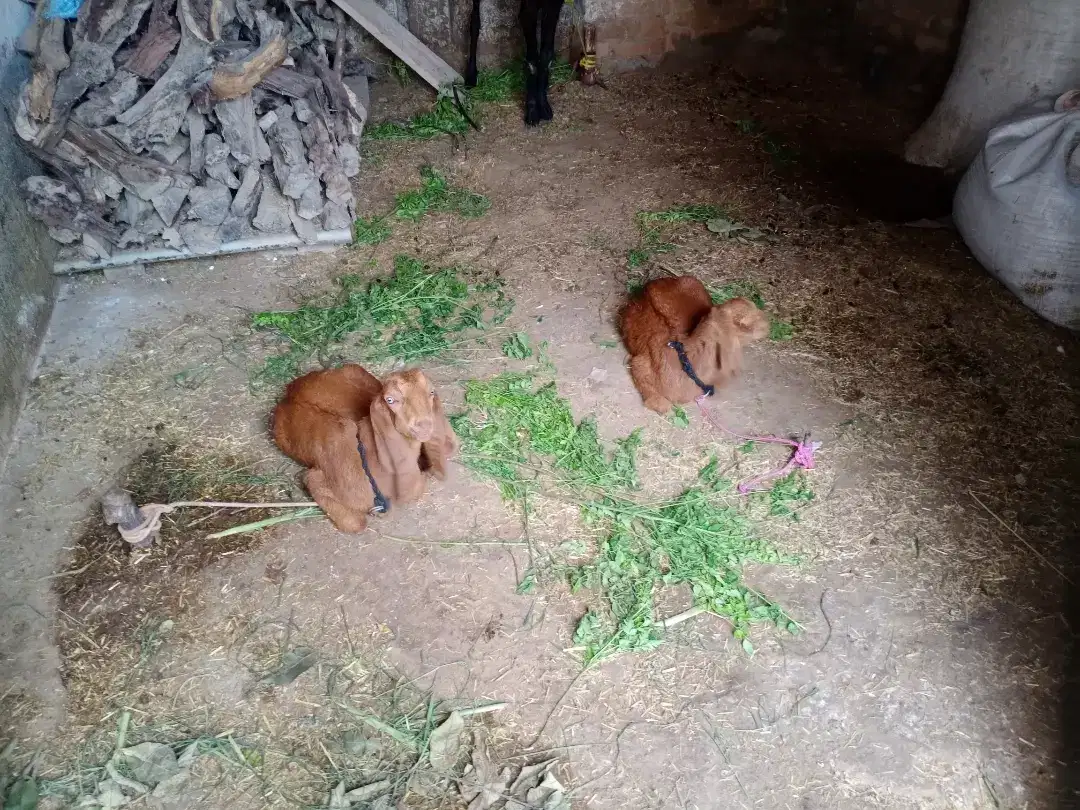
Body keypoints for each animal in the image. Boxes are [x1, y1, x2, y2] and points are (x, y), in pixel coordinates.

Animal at [272, 365, 458, 534]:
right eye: (390, 400)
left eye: (431, 392)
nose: (424, 425)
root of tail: (292, 389)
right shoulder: (315, 479)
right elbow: (357, 524)